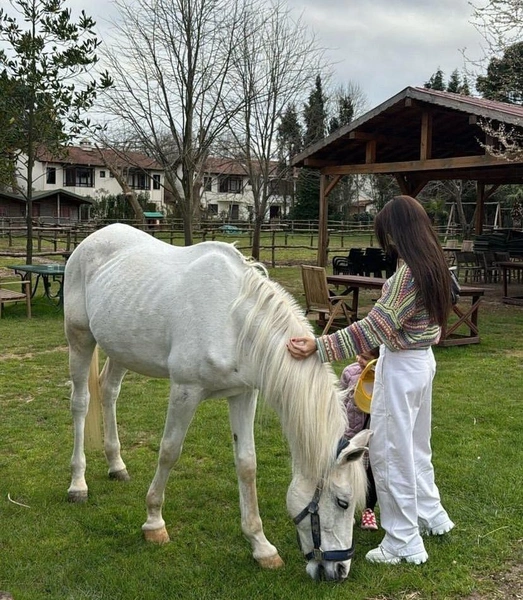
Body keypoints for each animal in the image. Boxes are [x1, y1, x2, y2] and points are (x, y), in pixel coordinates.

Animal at [63, 223, 370, 580]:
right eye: (342, 502)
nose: (339, 570)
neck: (234, 322)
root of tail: (92, 240)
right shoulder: (185, 391)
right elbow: (169, 452)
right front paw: (154, 523)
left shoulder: (243, 395)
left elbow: (247, 464)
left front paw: (262, 547)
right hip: (80, 340)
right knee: (81, 402)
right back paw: (78, 484)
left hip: (121, 349)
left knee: (109, 391)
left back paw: (117, 465)